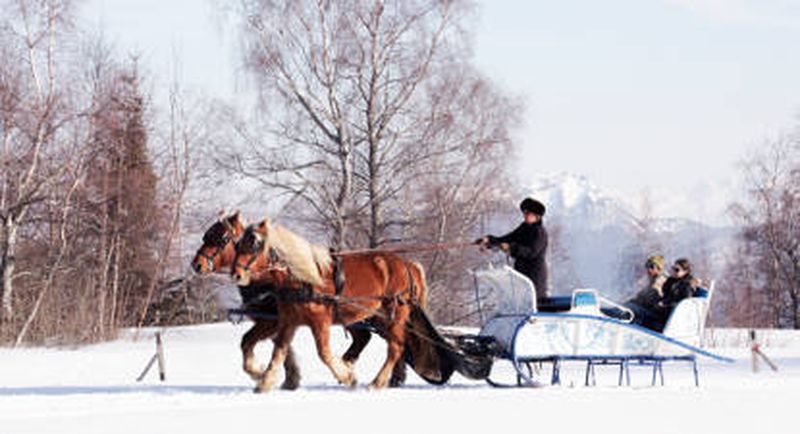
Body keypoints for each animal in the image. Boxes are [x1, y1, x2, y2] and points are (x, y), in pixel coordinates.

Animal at [231, 218, 431, 391]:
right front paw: (264, 382)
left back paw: (377, 382)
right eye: (237, 244)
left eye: (255, 244)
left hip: (393, 315)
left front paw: (348, 377)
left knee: (395, 347)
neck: (302, 278)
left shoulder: (320, 321)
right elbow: (278, 352)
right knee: (388, 343)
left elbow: (324, 353)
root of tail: (408, 265)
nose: (236, 274)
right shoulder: (288, 321)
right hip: (378, 317)